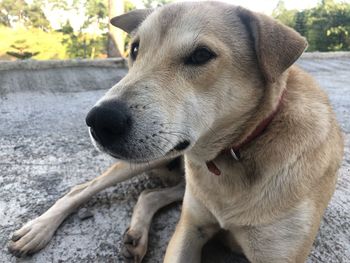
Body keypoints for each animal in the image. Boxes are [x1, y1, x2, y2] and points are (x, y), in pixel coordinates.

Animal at [8, 2, 344, 263]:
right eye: (135, 49)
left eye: (201, 55)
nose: (99, 120)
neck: (239, 151)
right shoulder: (189, 229)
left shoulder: (278, 252)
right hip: (148, 161)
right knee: (81, 189)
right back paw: (37, 229)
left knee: (149, 193)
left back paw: (135, 235)